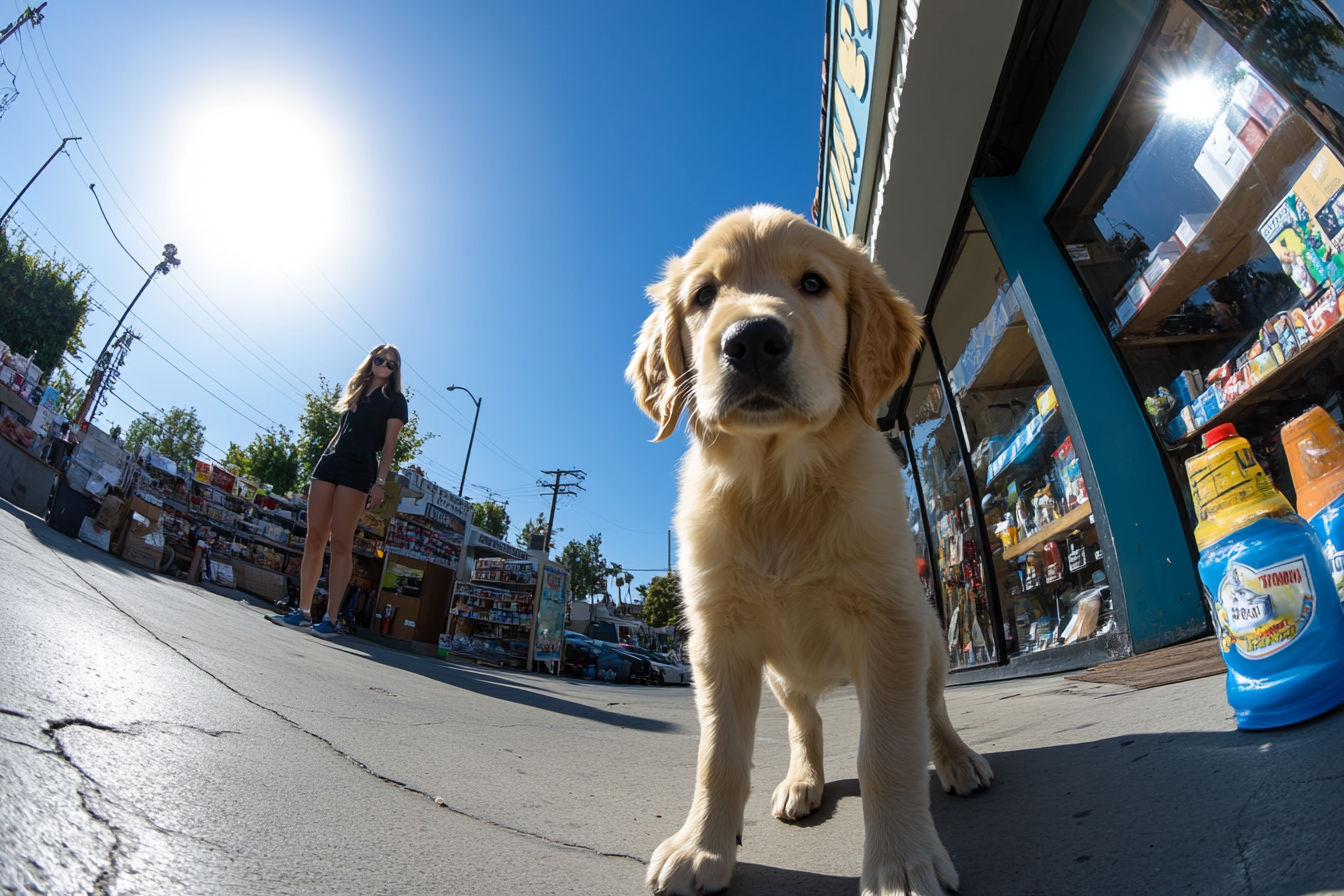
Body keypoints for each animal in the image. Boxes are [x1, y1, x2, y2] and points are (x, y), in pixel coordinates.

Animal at [623, 206, 994, 891]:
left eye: (814, 284)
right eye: (705, 295)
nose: (751, 340)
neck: (778, 485)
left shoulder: (889, 625)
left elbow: (889, 751)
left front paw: (902, 861)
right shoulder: (720, 640)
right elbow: (717, 756)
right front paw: (701, 849)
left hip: (931, 638)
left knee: (932, 713)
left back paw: (958, 760)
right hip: (783, 674)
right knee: (807, 721)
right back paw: (803, 782)